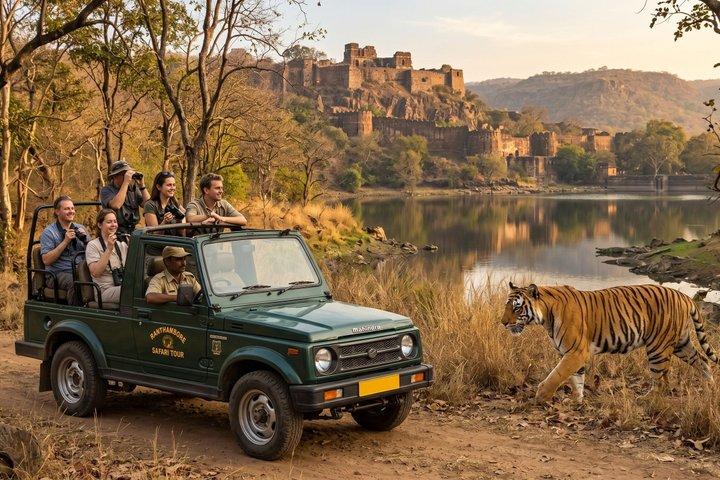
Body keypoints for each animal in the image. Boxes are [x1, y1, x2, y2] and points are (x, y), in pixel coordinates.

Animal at [501, 282, 718, 403]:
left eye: (517, 308)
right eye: (506, 306)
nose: (502, 322)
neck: (546, 316)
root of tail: (684, 296)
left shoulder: (575, 352)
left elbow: (556, 375)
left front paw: (541, 397)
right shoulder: (572, 354)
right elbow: (577, 379)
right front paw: (576, 401)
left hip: (658, 347)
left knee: (661, 381)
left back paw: (647, 399)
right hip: (681, 343)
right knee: (702, 361)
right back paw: (710, 388)